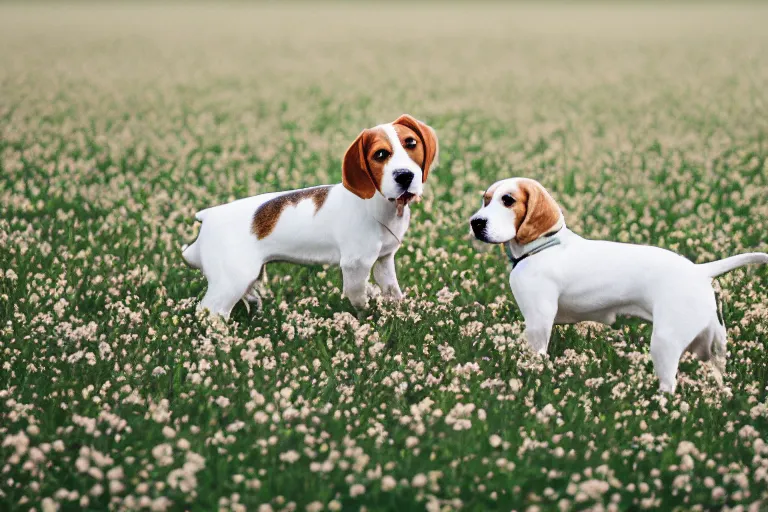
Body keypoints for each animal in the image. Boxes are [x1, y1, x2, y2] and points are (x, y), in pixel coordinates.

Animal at [181, 114, 440, 318]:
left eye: (411, 143)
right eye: (380, 154)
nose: (405, 176)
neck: (379, 207)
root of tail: (208, 217)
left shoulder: (384, 261)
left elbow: (393, 292)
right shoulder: (356, 266)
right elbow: (359, 299)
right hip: (230, 282)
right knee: (209, 312)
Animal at [472, 178, 764, 394]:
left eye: (508, 200)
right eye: (485, 199)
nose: (475, 222)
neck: (544, 247)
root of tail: (699, 271)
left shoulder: (538, 321)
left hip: (665, 343)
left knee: (669, 386)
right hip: (712, 348)